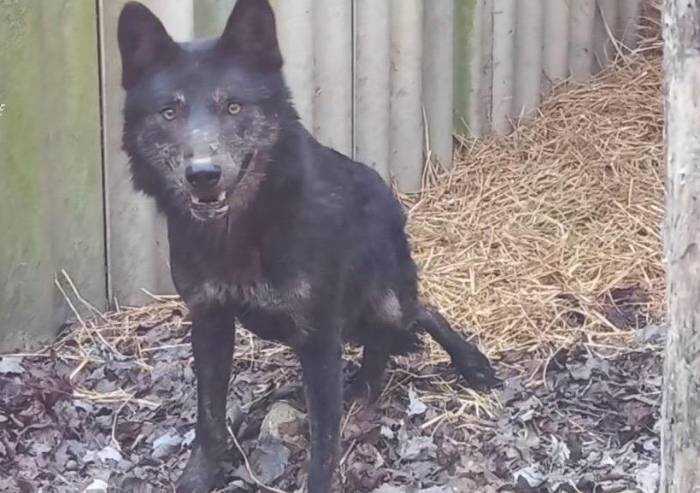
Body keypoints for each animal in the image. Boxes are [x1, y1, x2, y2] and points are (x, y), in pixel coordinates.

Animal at [117, 1, 499, 491]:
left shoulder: (319, 337)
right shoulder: (210, 320)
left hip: (379, 304)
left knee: (416, 315)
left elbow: (324, 443)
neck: (241, 234)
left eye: (234, 106)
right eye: (170, 112)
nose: (203, 175)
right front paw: (202, 474)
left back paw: (462, 363)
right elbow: (209, 415)